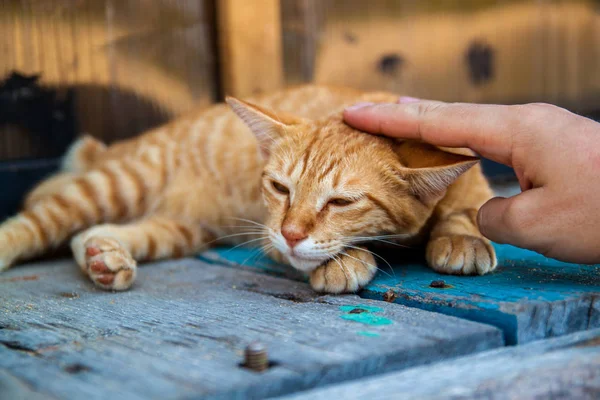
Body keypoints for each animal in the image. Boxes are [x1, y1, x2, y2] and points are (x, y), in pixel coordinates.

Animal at [0, 84, 496, 292]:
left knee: (89, 233)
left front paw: (461, 235)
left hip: (179, 229)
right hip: (118, 183)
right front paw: (349, 260)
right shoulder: (266, 233)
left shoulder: (462, 165)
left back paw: (104, 257)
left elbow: (469, 202)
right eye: (279, 188)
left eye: (341, 201)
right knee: (34, 221)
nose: (292, 234)